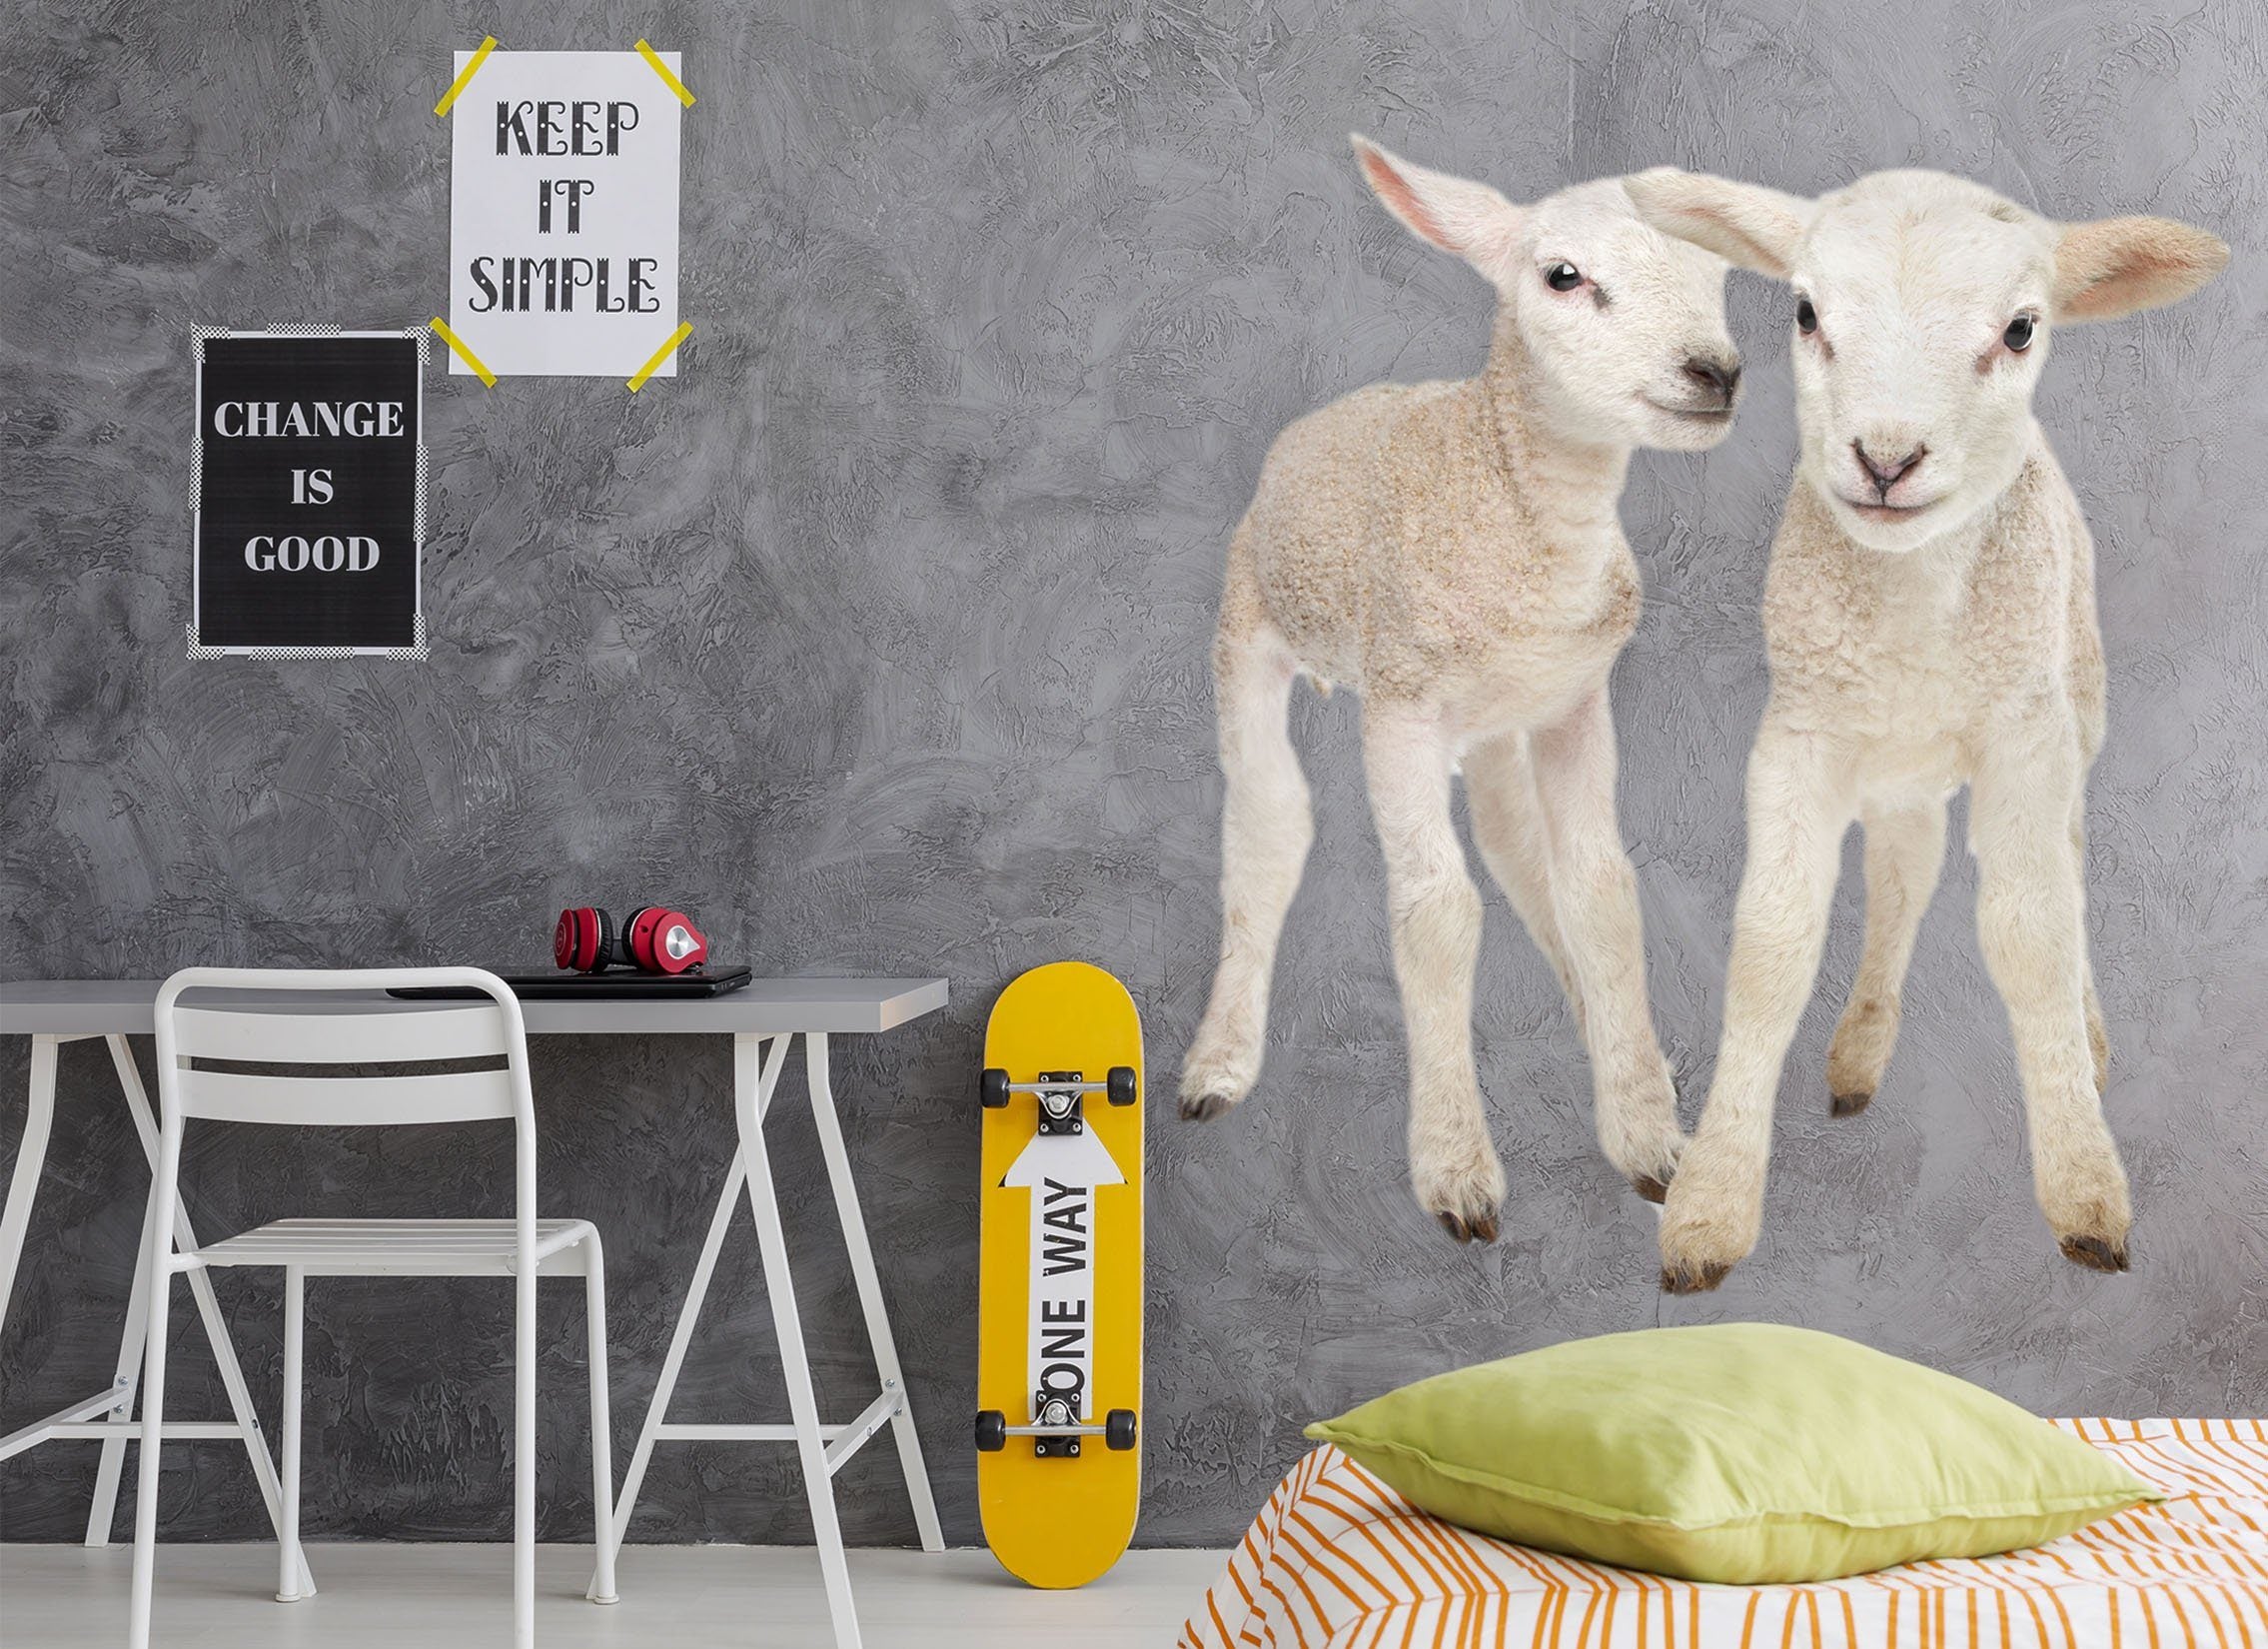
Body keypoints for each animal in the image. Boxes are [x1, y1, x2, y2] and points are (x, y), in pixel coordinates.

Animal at [1178, 136, 1744, 1242]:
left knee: (1515, 848)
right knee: (1267, 824)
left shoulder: (1573, 702)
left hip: (1492, 728)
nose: (1714, 371)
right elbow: (1436, 914)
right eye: (1561, 276)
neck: (1511, 500)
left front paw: (1648, 1133)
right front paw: (1455, 1169)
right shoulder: (1400, 709)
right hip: (1247, 628)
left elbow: (1599, 889)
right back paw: (1218, 1063)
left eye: (1719, 273)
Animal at [1625, 165, 2229, 1291]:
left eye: (2022, 329)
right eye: (1805, 312)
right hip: (1898, 765)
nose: (1885, 458)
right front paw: (1710, 1204)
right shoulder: (1798, 734)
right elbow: (1771, 942)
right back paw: (1860, 1051)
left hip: (2074, 698)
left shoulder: (2022, 735)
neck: (1910, 611)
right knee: (1905, 871)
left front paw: (2083, 1184)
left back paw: (2085, 1040)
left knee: (2067, 864)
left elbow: (2033, 934)